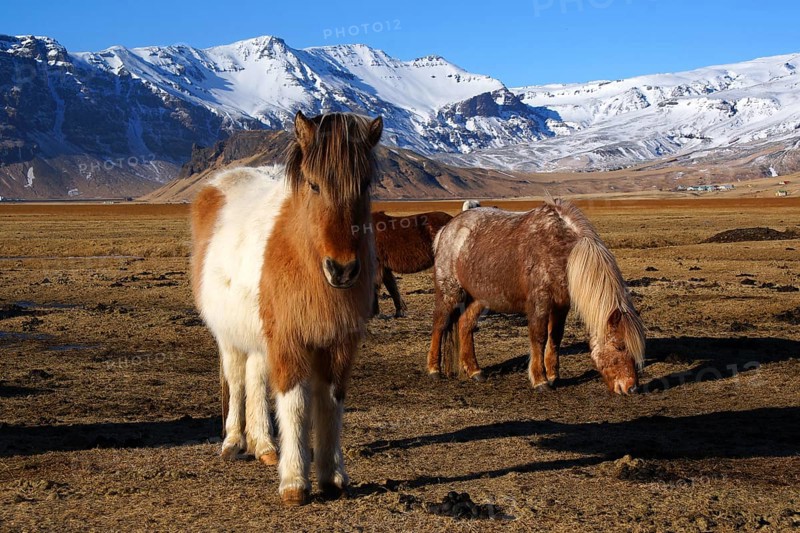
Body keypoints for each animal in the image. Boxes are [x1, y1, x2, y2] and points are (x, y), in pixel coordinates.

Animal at [191, 111, 383, 506]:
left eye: (365, 183)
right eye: (313, 185)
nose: (342, 269)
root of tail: (215, 185)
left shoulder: (338, 344)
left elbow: (331, 403)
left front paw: (332, 475)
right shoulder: (289, 341)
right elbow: (294, 404)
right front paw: (295, 481)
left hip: (259, 336)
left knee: (256, 378)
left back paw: (264, 446)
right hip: (230, 336)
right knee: (237, 379)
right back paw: (233, 442)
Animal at [426, 200, 645, 395]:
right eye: (619, 346)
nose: (631, 388)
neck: (562, 251)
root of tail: (447, 229)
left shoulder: (561, 305)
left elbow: (555, 337)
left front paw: (554, 376)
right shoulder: (540, 303)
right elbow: (539, 338)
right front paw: (540, 380)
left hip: (479, 298)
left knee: (465, 325)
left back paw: (474, 371)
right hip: (450, 292)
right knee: (440, 324)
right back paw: (434, 370)